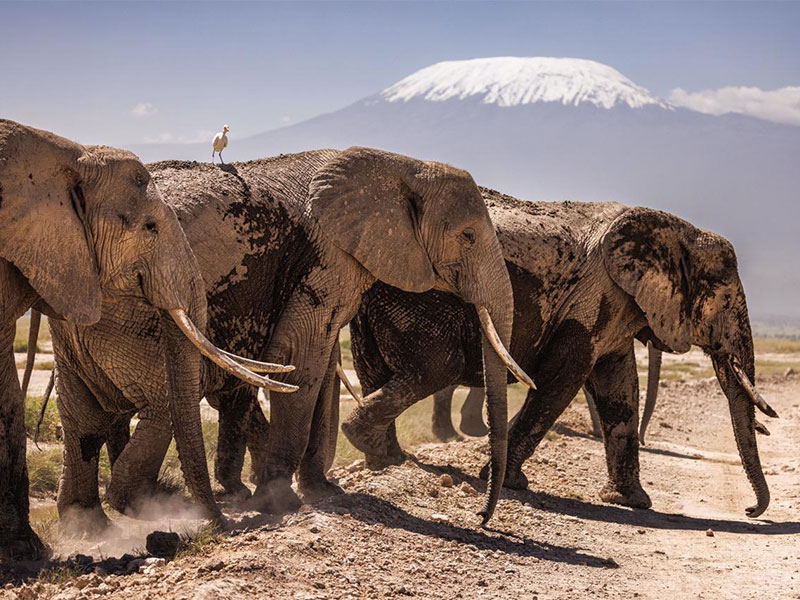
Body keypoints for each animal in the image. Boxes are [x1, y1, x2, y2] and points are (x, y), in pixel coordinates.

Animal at [45, 148, 533, 529]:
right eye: (468, 236)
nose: (482, 517)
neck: (400, 164)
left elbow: (322, 360)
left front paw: (323, 492)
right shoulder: (328, 254)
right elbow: (302, 355)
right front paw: (283, 503)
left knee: (82, 411)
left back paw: (96, 521)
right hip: (128, 307)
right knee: (159, 401)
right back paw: (152, 507)